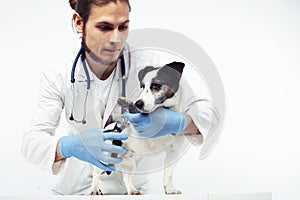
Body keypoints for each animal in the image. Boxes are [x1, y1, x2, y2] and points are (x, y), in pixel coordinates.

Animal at [90, 61, 186, 195]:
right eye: (142, 86)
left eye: (156, 85)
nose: (138, 103)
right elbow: (132, 110)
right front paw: (125, 102)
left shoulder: (173, 152)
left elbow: (168, 174)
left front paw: (170, 189)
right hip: (104, 155)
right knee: (96, 172)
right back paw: (94, 189)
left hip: (129, 164)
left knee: (126, 178)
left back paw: (132, 190)